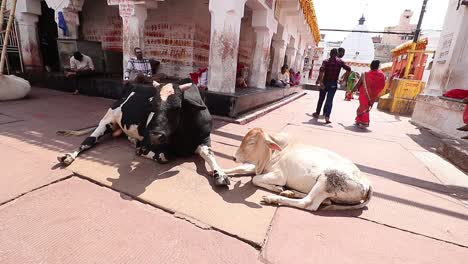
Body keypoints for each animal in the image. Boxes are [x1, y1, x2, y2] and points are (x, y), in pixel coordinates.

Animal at [57, 80, 231, 186]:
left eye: (177, 107)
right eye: (152, 106)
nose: (155, 135)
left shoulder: (205, 137)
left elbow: (209, 153)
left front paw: (220, 174)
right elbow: (164, 155)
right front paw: (142, 150)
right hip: (107, 119)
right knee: (88, 141)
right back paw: (68, 156)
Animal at [224, 127, 372, 211]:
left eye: (251, 142)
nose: (234, 157)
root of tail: (368, 185)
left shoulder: (279, 175)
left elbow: (255, 179)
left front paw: (277, 188)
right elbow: (239, 169)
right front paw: (221, 172)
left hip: (326, 179)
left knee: (308, 203)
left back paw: (274, 198)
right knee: (326, 201)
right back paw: (290, 193)